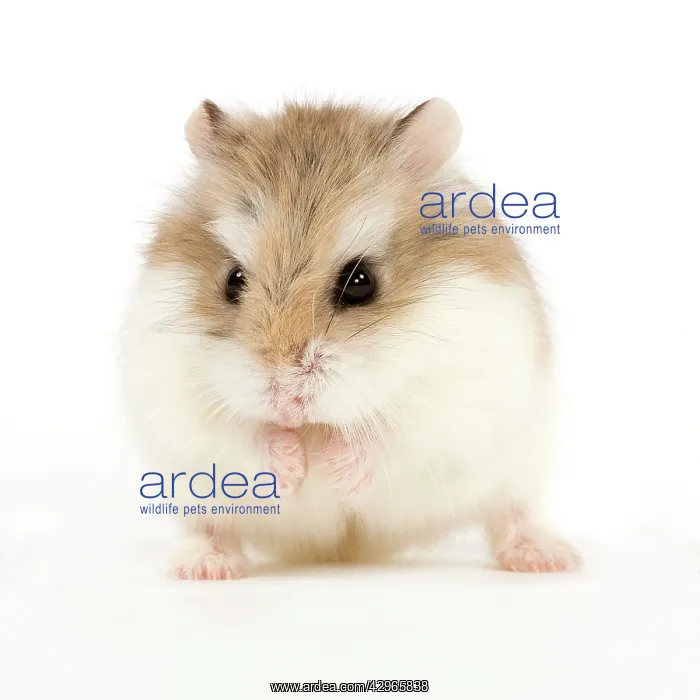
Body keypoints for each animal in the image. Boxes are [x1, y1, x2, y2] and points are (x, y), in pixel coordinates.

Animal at [121, 97, 580, 579]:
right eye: (234, 280)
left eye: (361, 282)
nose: (287, 405)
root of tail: (342, 554)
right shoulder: (177, 405)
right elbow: (241, 434)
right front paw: (296, 463)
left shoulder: (457, 401)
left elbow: (387, 438)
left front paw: (330, 460)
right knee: (208, 526)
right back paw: (206, 567)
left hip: (519, 470)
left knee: (512, 513)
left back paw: (549, 558)